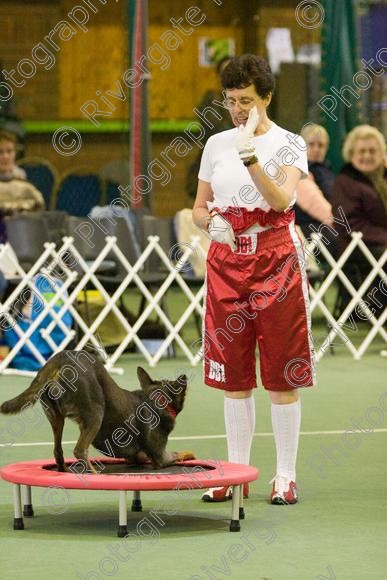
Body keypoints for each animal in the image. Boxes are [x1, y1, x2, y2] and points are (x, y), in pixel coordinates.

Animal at [0, 348, 194, 472]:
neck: (155, 401)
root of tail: (62, 357)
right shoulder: (160, 457)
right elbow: (177, 454)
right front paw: (189, 454)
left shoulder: (135, 456)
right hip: (95, 412)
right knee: (79, 450)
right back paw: (93, 474)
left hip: (54, 415)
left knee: (58, 450)